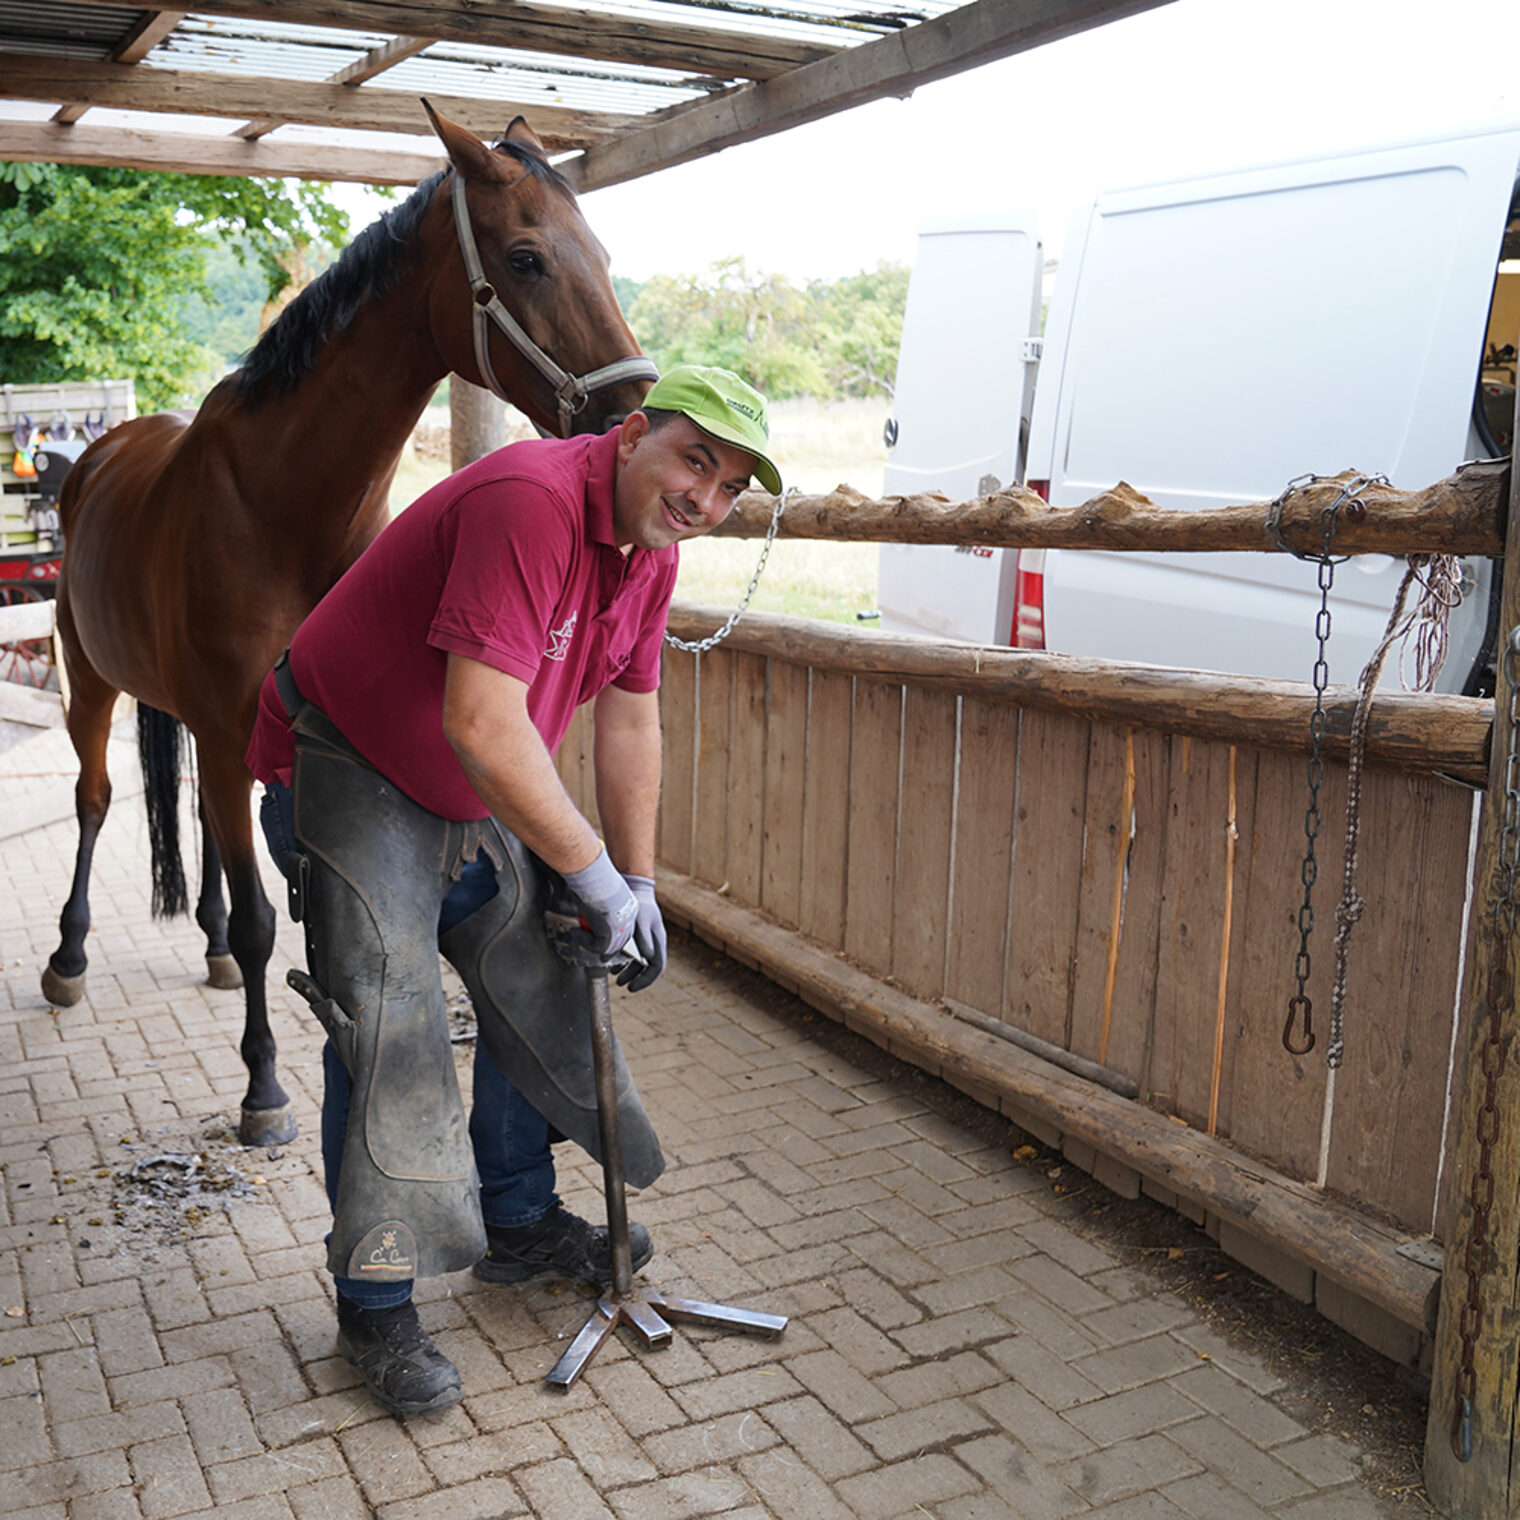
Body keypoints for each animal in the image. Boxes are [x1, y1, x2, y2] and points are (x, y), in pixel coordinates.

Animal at [41, 107, 656, 1143]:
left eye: (606, 254)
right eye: (526, 258)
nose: (632, 413)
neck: (280, 508)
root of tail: (95, 456)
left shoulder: (274, 739)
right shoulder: (225, 729)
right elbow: (265, 924)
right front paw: (263, 1088)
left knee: (198, 830)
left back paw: (203, 942)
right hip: (89, 684)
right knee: (92, 803)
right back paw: (69, 958)